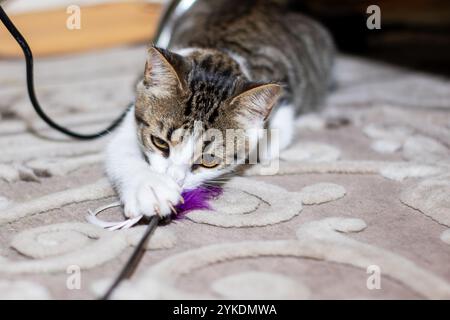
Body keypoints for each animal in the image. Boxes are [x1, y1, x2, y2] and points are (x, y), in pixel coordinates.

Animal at [106, 0, 334, 219]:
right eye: (160, 143)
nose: (174, 179)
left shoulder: (282, 111)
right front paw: (150, 189)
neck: (219, 51)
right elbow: (119, 147)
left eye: (208, 161)